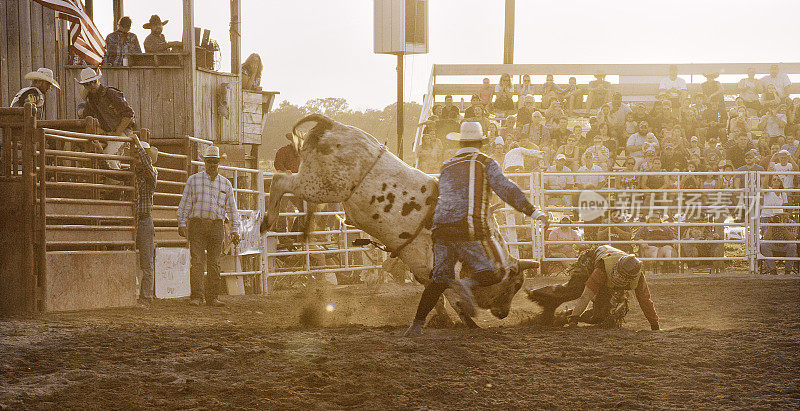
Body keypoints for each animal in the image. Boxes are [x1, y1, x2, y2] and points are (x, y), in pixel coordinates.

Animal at [262, 114, 536, 326]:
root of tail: (331, 124)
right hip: (322, 186)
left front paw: (446, 319)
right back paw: (268, 221)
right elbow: (453, 298)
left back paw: (301, 229)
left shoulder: (425, 270)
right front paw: (466, 322)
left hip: (316, 183)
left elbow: (440, 297)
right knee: (280, 180)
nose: (504, 313)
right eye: (515, 284)